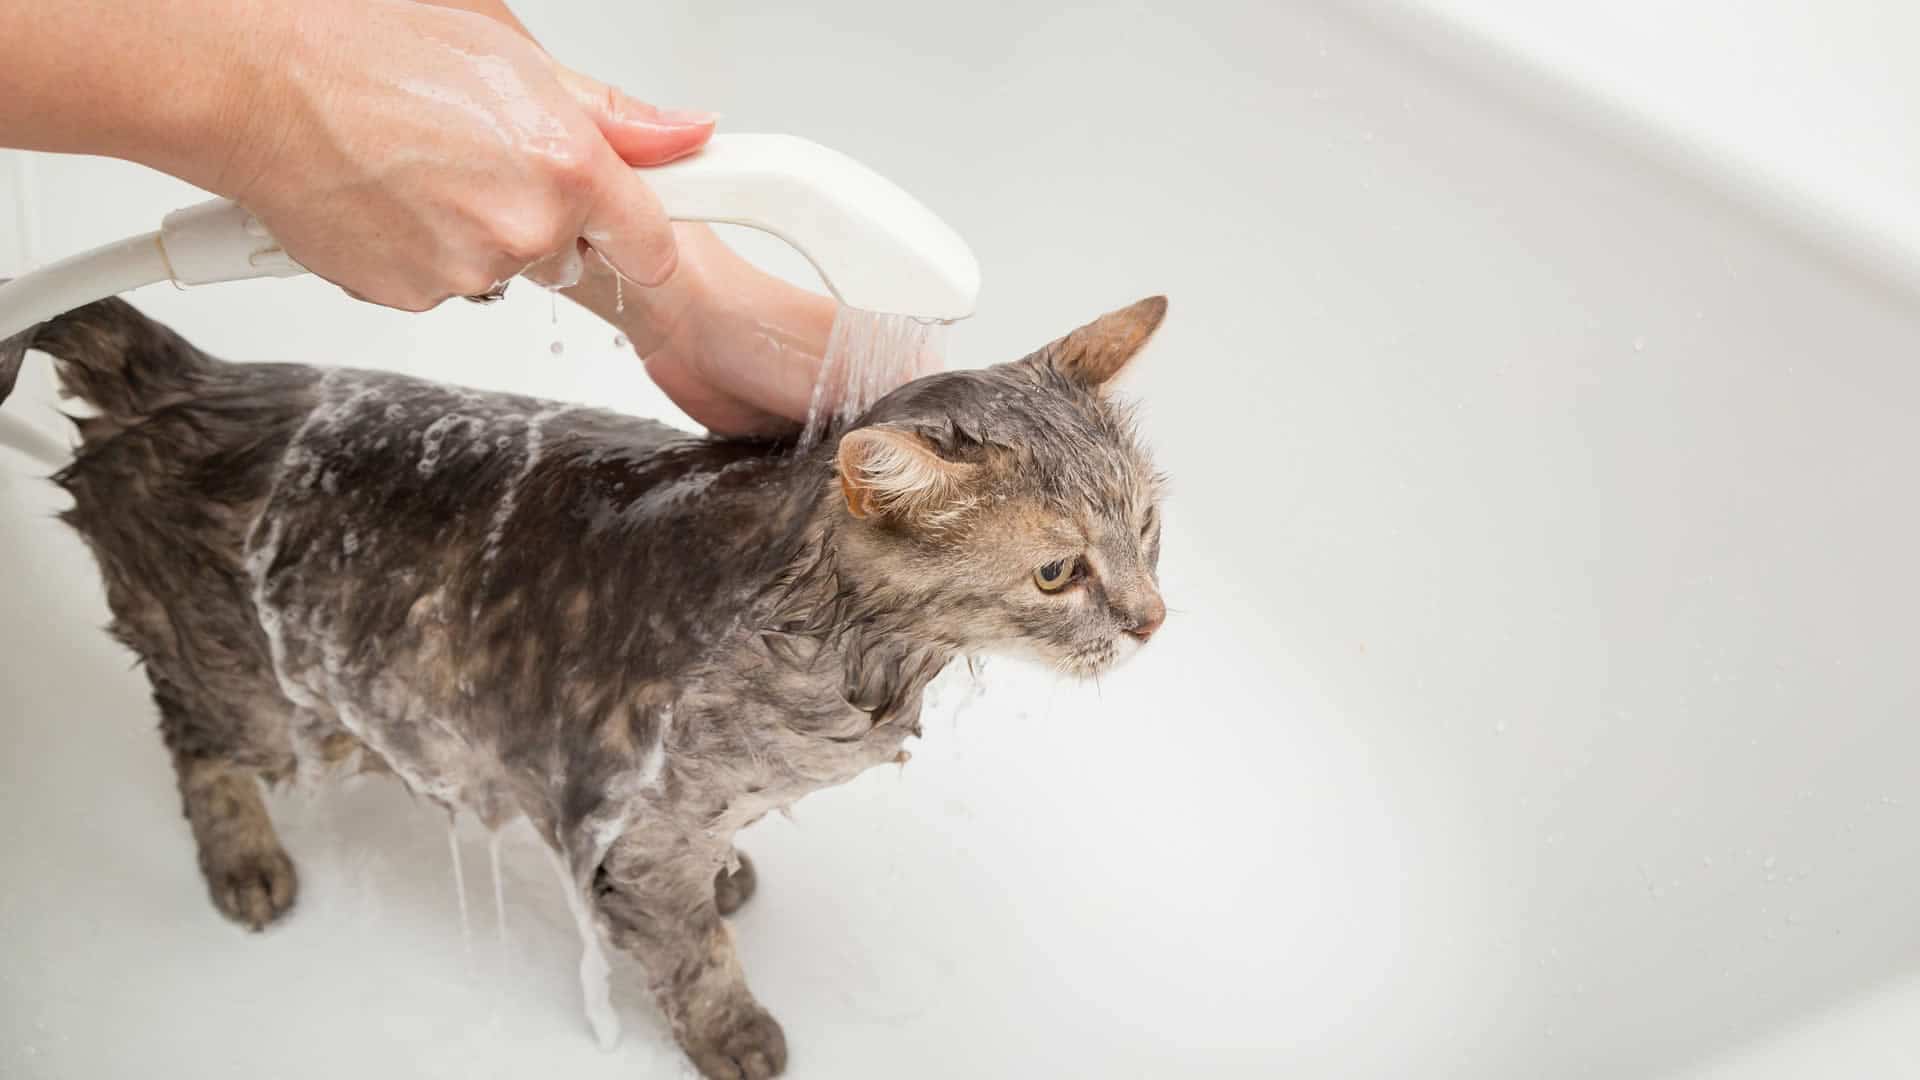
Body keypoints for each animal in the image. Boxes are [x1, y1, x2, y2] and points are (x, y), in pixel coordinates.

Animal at [0, 290, 1167, 1068]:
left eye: (1149, 527)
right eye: (1059, 573)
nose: (1153, 621)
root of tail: (190, 377)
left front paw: (728, 875)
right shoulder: (635, 810)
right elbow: (693, 950)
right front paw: (732, 1025)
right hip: (255, 696)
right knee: (194, 742)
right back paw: (243, 861)